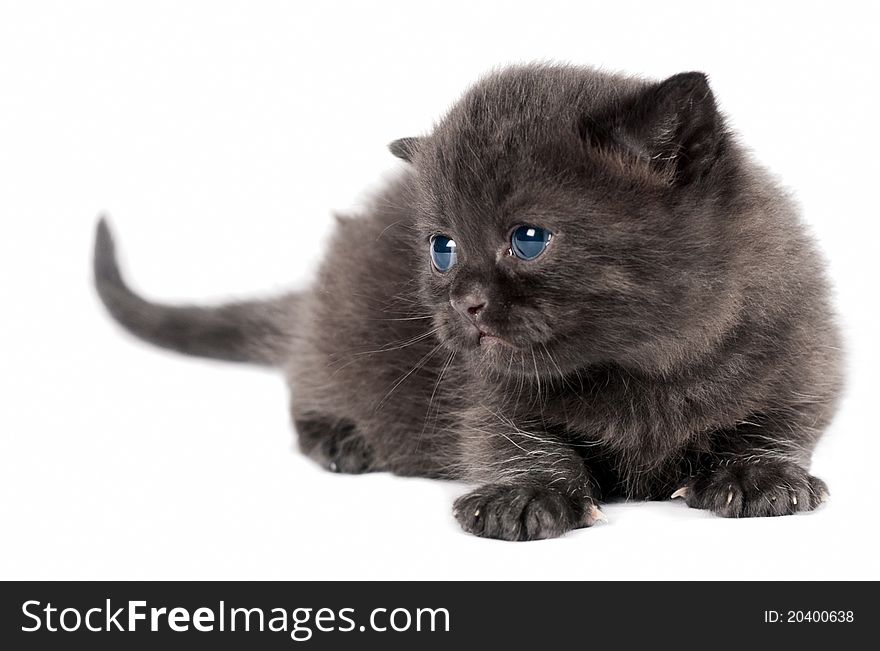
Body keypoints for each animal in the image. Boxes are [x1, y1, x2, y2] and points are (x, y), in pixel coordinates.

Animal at [93, 65, 844, 540]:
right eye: (442, 247)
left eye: (529, 239)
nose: (463, 302)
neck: (639, 365)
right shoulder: (481, 390)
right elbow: (509, 433)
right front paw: (525, 495)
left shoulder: (806, 351)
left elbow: (782, 418)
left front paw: (759, 475)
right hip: (337, 327)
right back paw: (342, 436)